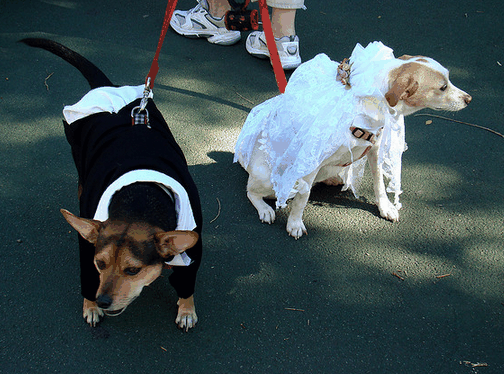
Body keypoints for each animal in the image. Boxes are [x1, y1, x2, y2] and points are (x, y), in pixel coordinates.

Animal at [234, 41, 470, 240]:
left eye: (449, 79)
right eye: (442, 87)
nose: (469, 99)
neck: (371, 101)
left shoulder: (374, 151)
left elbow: (379, 184)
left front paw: (385, 207)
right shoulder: (310, 158)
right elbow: (302, 196)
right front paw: (294, 223)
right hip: (266, 178)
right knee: (250, 191)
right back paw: (265, 209)